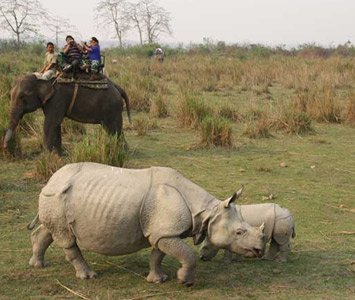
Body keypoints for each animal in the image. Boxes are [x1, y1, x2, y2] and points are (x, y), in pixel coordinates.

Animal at [3, 74, 131, 155]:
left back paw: (121, 152)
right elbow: (55, 124)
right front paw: (58, 154)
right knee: (113, 129)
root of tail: (117, 87)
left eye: (22, 97)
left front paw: (46, 156)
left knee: (114, 129)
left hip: (112, 108)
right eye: (10, 95)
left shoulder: (57, 98)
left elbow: (50, 123)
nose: (4, 147)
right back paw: (122, 150)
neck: (42, 78)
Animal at [27, 163, 266, 284]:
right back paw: (89, 276)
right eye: (239, 232)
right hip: (58, 196)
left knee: (51, 230)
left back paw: (37, 265)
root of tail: (50, 179)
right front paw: (184, 281)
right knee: (66, 238)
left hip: (55, 199)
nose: (260, 250)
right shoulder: (166, 231)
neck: (207, 211)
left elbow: (157, 255)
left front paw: (158, 279)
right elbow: (187, 255)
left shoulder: (162, 232)